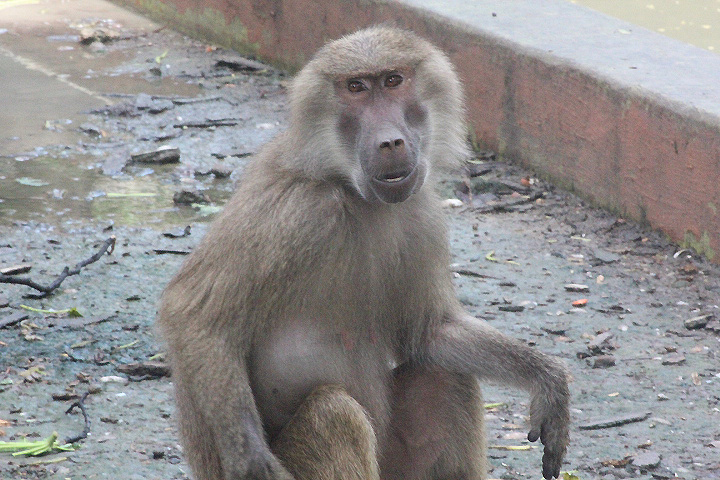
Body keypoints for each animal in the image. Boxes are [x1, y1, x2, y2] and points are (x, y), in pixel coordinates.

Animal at [158, 26, 570, 480]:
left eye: (393, 80)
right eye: (355, 87)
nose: (390, 141)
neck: (350, 192)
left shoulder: (420, 213)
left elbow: (428, 334)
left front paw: (547, 380)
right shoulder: (295, 210)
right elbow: (194, 313)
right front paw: (250, 461)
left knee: (447, 377)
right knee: (332, 414)